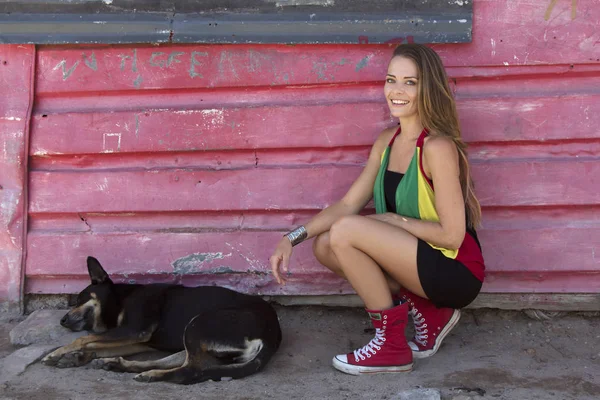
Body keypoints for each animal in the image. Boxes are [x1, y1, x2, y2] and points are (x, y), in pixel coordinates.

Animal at [42, 256, 282, 384]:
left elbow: (84, 339)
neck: (121, 299)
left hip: (197, 324)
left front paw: (57, 353)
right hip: (198, 340)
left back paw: (151, 375)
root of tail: (272, 335)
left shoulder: (134, 331)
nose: (62, 320)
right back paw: (120, 365)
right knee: (174, 362)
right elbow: (94, 345)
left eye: (80, 299)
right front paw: (77, 358)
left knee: (190, 371)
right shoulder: (138, 341)